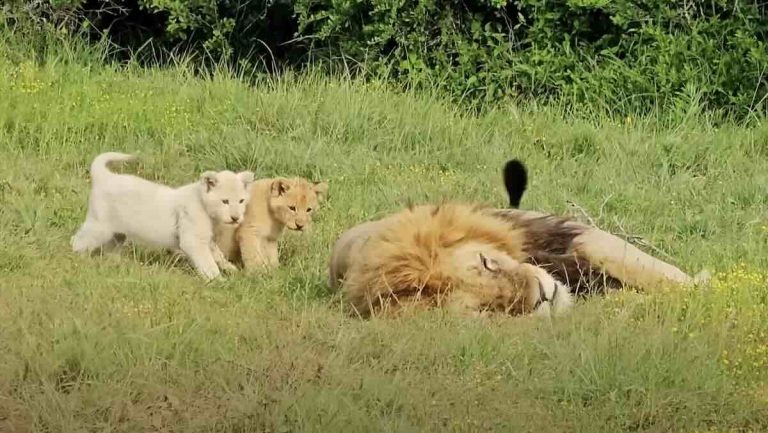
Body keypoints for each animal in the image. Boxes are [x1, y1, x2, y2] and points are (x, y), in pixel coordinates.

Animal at [71, 152, 254, 280]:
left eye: (241, 201)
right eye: (225, 201)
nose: (236, 218)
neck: (203, 204)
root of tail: (105, 176)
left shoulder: (207, 240)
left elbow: (218, 256)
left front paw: (231, 270)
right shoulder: (193, 241)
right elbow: (207, 262)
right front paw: (218, 280)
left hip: (117, 233)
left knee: (109, 248)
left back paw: (115, 263)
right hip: (99, 226)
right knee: (77, 240)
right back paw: (77, 258)